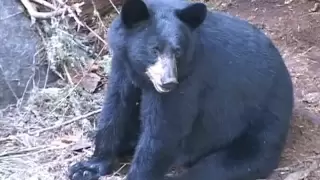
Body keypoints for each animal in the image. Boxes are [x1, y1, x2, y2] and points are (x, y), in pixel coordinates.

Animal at [69, 0, 294, 179]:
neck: (142, 75)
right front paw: (88, 166)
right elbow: (116, 106)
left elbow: (165, 129)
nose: (168, 82)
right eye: (154, 50)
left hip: (260, 127)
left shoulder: (189, 77)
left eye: (177, 52)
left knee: (225, 165)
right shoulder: (122, 64)